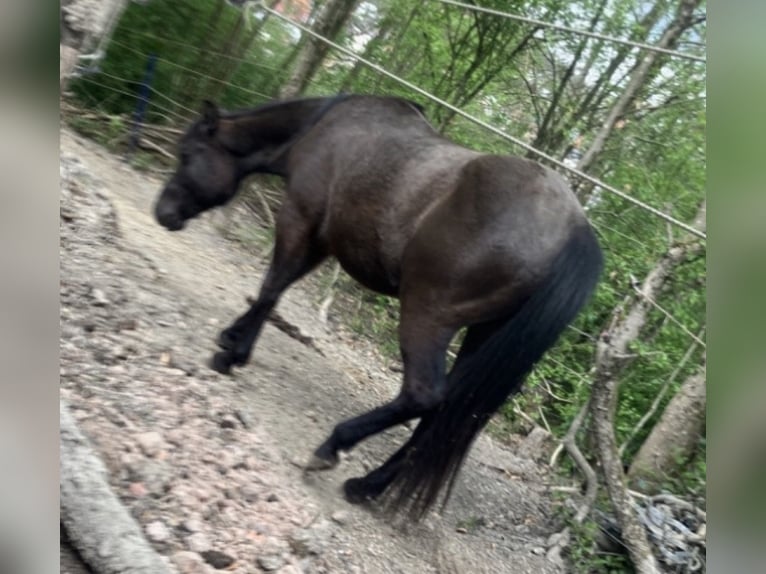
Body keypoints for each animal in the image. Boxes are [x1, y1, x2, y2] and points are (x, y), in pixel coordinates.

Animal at [153, 94, 603, 518]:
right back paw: (368, 485)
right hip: (480, 337)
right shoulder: (323, 239)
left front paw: (232, 352)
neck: (321, 128)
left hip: (426, 316)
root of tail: (574, 227)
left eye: (187, 153)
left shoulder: (301, 220)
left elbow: (271, 287)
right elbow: (276, 289)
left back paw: (333, 446)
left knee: (424, 396)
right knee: (441, 416)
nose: (163, 213)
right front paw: (232, 339)